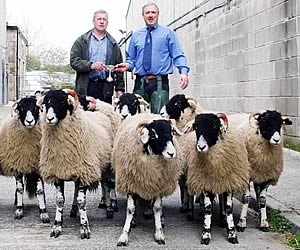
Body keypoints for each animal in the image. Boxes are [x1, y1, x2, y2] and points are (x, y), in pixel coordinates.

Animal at [38, 89, 111, 238]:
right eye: (46, 102)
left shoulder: (85, 172)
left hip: (106, 166)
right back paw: (73, 210)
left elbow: (82, 201)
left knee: (106, 185)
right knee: (77, 190)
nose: (49, 118)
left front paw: (84, 228)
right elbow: (60, 200)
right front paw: (57, 226)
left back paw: (109, 209)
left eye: (61, 101)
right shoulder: (58, 173)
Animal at [184, 113, 250, 244]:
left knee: (222, 200)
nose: (201, 147)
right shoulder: (206, 183)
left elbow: (229, 208)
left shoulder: (228, 183)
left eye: (214, 126)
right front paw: (206, 234)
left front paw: (232, 233)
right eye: (196, 127)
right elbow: (208, 208)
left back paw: (223, 219)